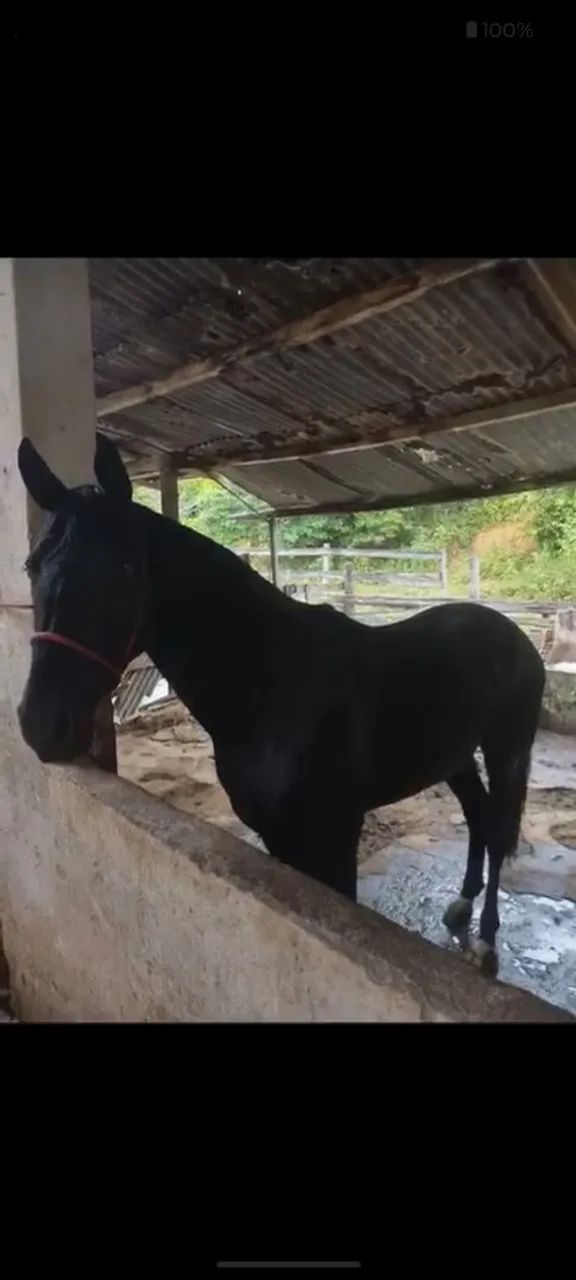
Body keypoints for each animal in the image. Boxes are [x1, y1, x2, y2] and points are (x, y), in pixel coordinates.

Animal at [16, 433, 545, 978]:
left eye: (124, 569)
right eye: (32, 566)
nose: (41, 725)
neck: (269, 683)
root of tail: (511, 632)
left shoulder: (335, 840)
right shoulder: (278, 836)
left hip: (507, 748)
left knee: (498, 826)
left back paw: (486, 939)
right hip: (454, 756)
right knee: (479, 816)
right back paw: (460, 906)